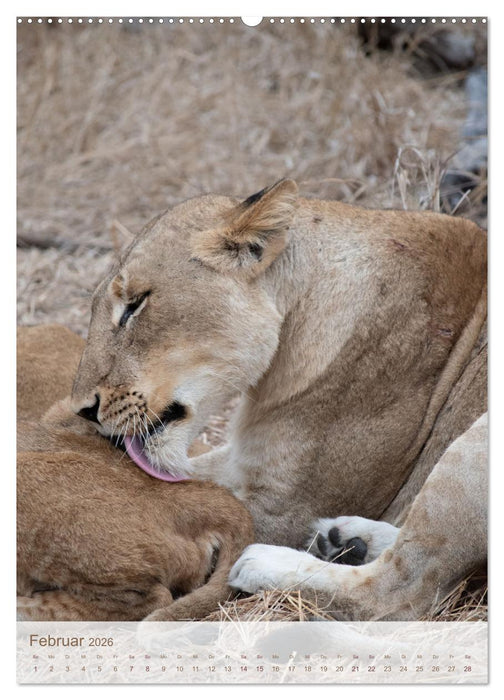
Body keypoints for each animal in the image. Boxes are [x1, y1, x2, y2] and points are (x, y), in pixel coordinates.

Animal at [71, 179, 487, 620]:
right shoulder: (242, 459)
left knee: (400, 594)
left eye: (135, 304)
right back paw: (348, 540)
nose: (83, 409)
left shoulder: (286, 508)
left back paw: (265, 562)